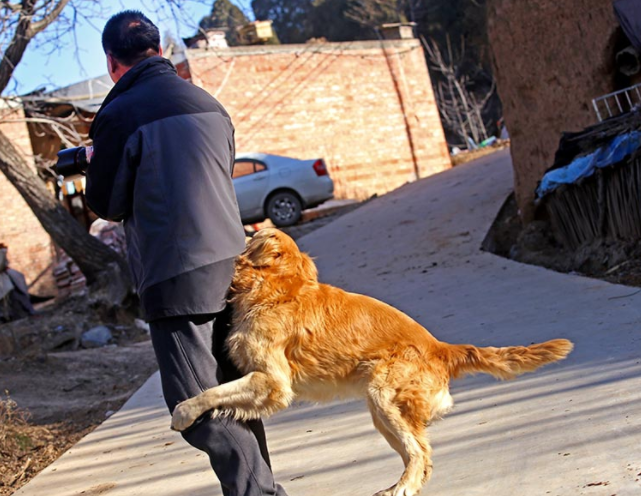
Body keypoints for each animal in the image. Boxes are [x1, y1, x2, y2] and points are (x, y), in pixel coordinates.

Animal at [171, 229, 576, 496]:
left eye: (254, 234)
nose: (247, 224)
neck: (279, 287)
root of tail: (441, 348)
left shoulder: (272, 382)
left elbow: (209, 393)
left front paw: (183, 413)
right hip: (383, 413)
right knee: (423, 456)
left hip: (384, 397)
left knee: (418, 453)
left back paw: (400, 489)